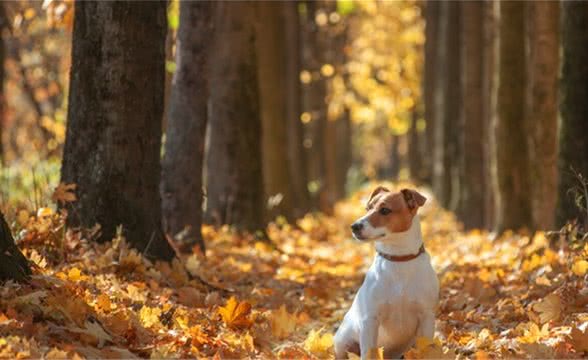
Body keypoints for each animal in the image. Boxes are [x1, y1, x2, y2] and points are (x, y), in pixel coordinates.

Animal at [334, 187, 438, 358]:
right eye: (367, 208)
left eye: (385, 210)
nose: (354, 226)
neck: (399, 260)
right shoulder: (370, 320)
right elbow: (369, 353)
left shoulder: (427, 316)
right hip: (342, 341)